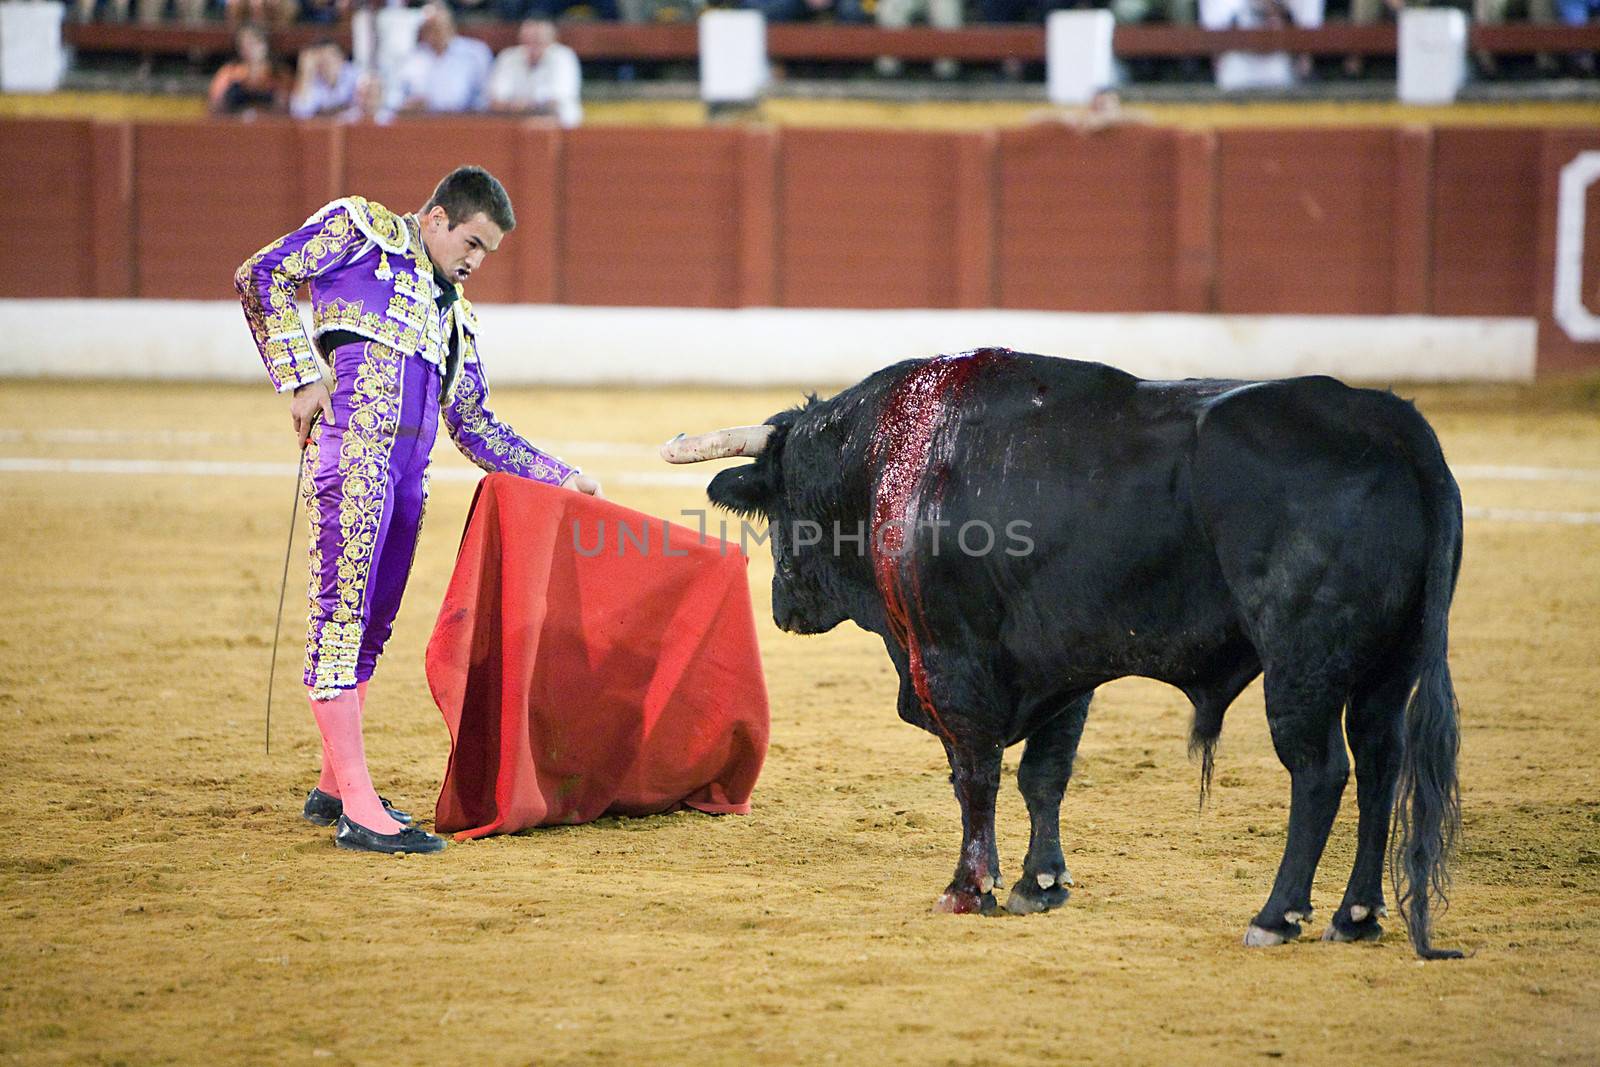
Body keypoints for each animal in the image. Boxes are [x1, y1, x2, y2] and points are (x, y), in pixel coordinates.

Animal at [681, 348, 1459, 959]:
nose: (783, 606)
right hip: (1389, 671)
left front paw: (968, 888)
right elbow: (1043, 774)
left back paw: (1276, 916)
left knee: (1321, 771)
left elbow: (976, 774)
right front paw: (1040, 883)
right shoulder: (1065, 670)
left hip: (1301, 665)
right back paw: (1354, 916)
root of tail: (1394, 425)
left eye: (781, 503)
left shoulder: (952, 661)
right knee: (1381, 763)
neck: (889, 461)